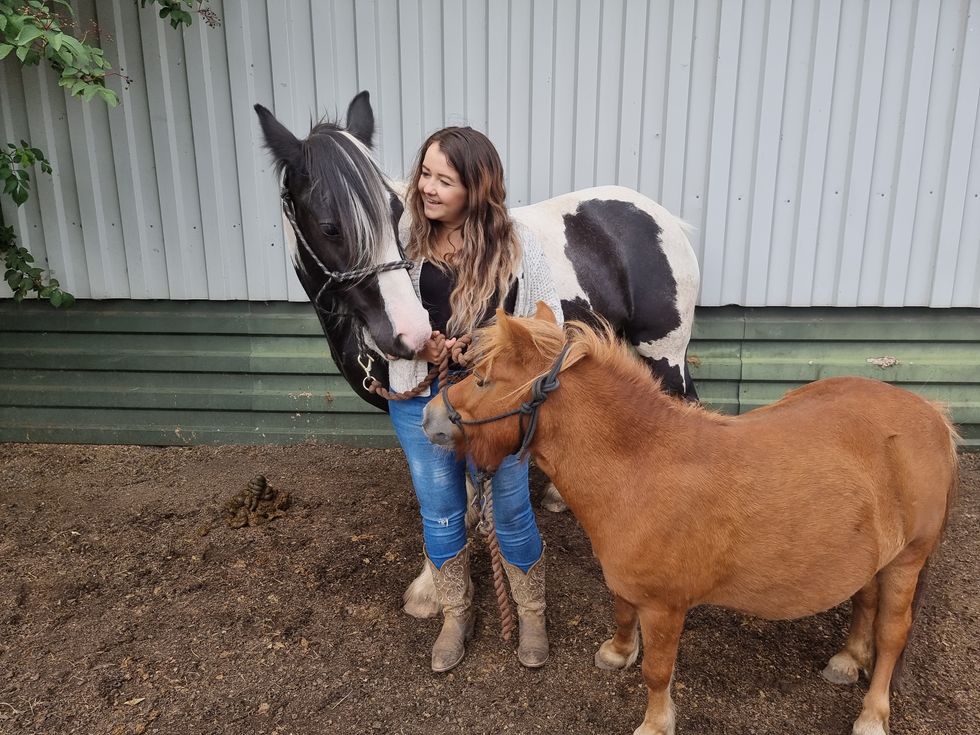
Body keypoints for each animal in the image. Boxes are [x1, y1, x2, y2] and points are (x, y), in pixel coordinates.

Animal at [254, 91, 701, 616]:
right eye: (329, 227)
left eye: (394, 211)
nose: (410, 332)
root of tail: (662, 219)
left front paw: (431, 586)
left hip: (665, 352)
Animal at [422, 303, 959, 735]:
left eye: (484, 379)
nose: (428, 419)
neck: (641, 465)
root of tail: (932, 414)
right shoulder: (629, 584)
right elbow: (622, 611)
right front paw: (618, 652)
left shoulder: (666, 606)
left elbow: (658, 672)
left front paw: (656, 723)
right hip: (873, 555)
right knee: (864, 600)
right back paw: (849, 659)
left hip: (908, 560)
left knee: (892, 635)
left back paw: (872, 714)